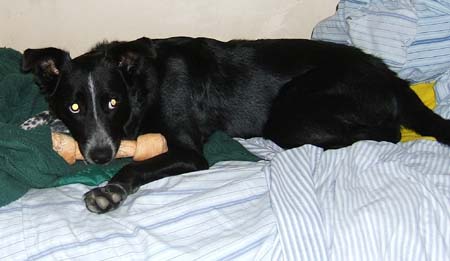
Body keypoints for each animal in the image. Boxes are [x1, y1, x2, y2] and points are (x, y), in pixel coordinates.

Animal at [22, 36, 450, 212]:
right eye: (75, 107)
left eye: (113, 102)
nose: (98, 156)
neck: (144, 83)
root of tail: (389, 75)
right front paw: (39, 119)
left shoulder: (189, 152)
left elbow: (136, 165)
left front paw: (110, 191)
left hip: (292, 116)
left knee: (389, 133)